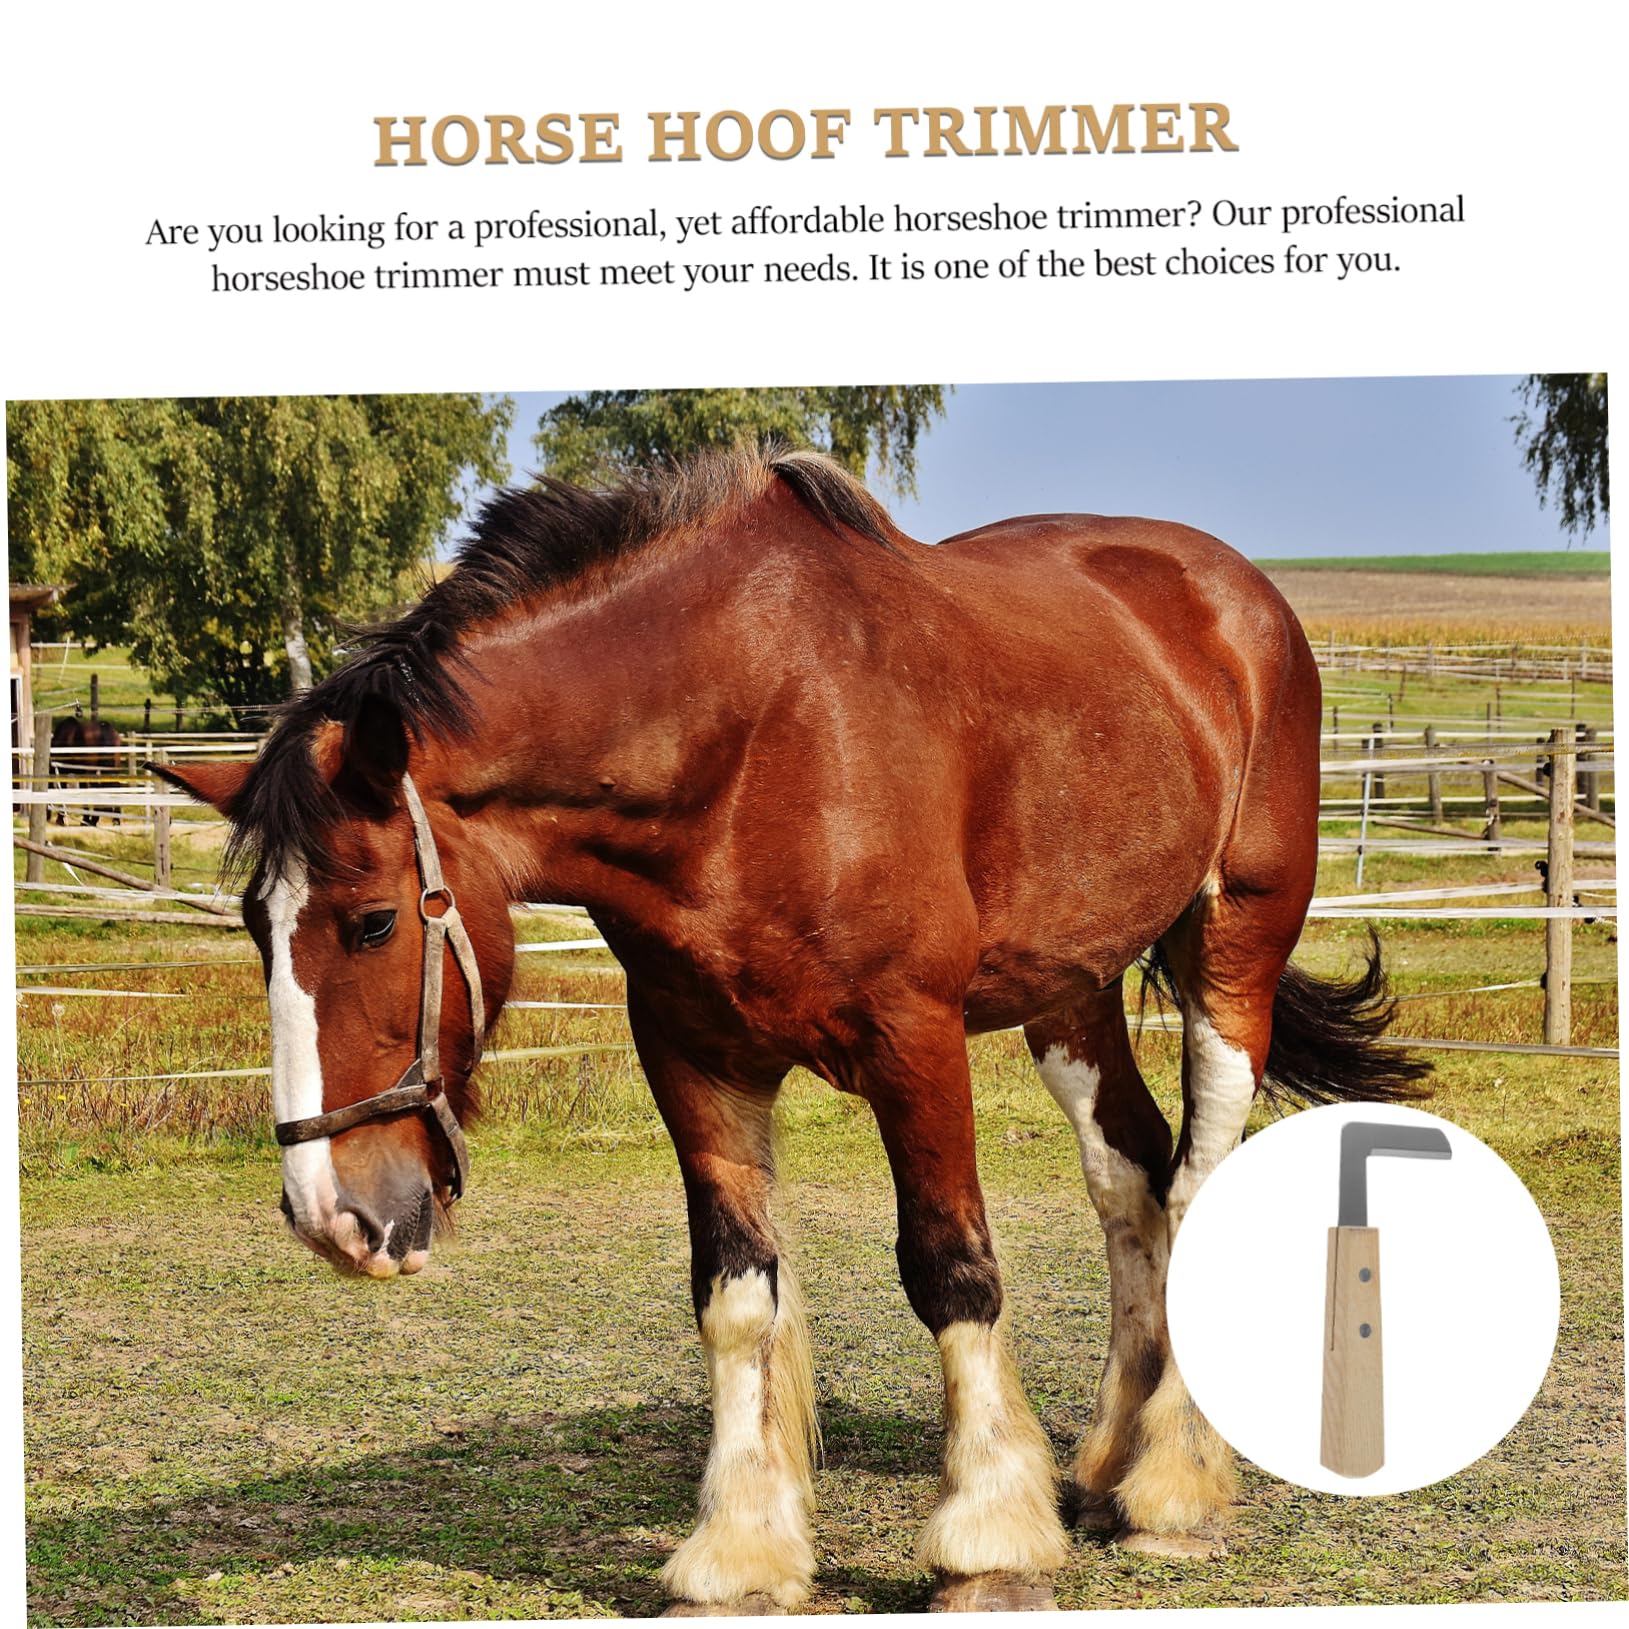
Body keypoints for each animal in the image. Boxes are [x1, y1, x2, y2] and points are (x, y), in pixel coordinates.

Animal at [156, 445, 1427, 1613]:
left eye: (372, 921)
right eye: (255, 927)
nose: (332, 1216)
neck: (748, 739)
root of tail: (1235, 595)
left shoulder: (915, 1041)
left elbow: (952, 1271)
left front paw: (986, 1541)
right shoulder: (694, 1055)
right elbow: (734, 1295)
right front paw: (741, 1552)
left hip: (1232, 950)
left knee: (1197, 1174)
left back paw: (1172, 1486)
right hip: (1070, 988)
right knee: (1130, 1177)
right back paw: (1110, 1463)